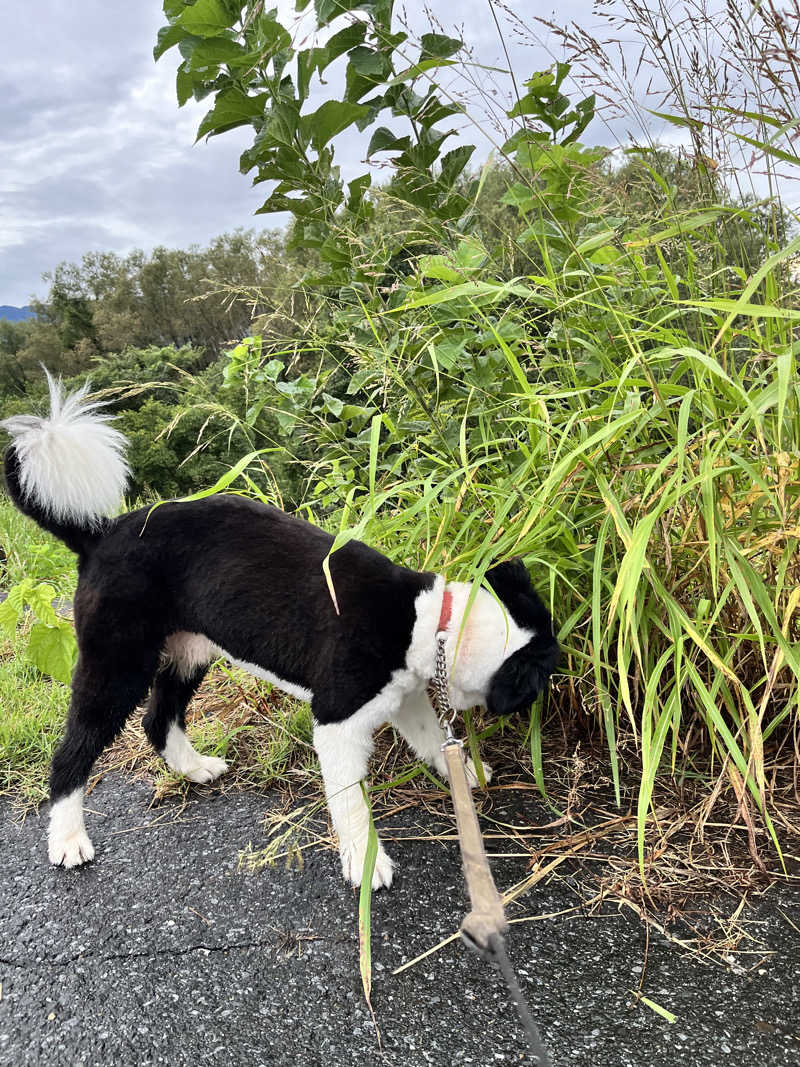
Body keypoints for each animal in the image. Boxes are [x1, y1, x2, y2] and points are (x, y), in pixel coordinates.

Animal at [3, 379, 558, 887]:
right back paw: (68, 839)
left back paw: (193, 768)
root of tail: (98, 536)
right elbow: (351, 804)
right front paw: (366, 862)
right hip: (116, 664)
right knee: (72, 753)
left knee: (159, 719)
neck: (424, 619)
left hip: (187, 652)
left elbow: (430, 739)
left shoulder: (401, 695)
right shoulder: (338, 721)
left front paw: (466, 775)